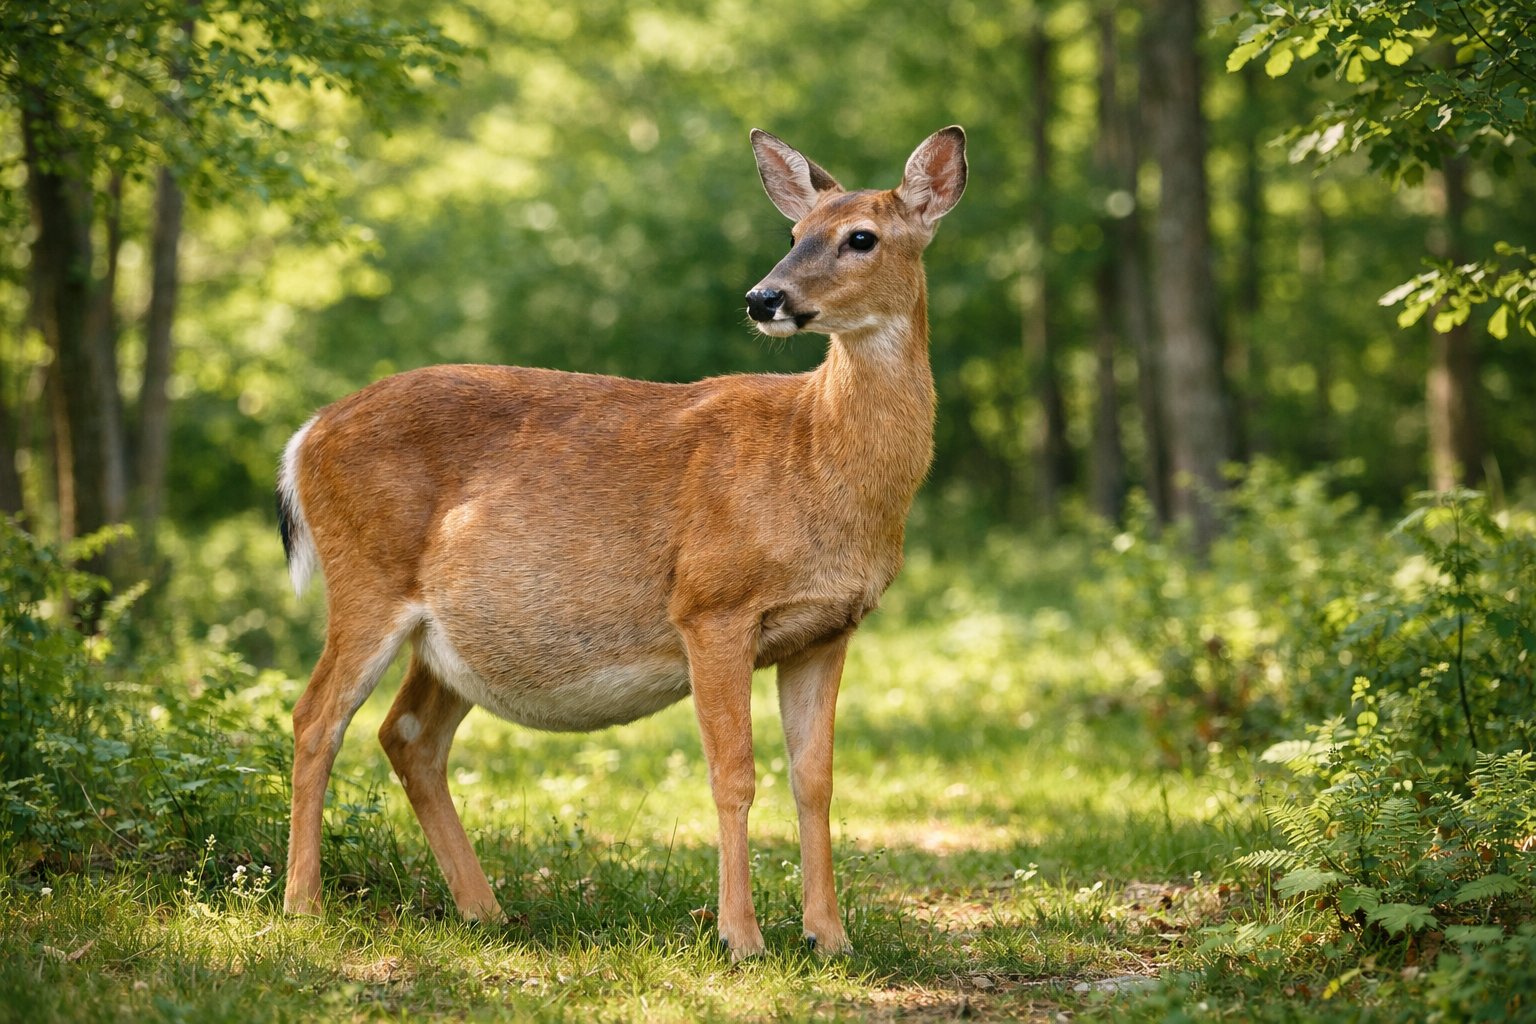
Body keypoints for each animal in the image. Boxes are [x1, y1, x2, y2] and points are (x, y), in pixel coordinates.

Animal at [275, 125, 966, 959]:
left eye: (861, 237)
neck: (814, 453)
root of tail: (306, 435)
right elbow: (734, 774)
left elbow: (816, 778)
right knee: (317, 718)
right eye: (794, 234)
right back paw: (303, 907)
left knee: (406, 734)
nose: (762, 298)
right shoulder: (711, 601)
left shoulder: (828, 628)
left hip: (446, 634)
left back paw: (485, 909)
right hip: (366, 578)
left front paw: (830, 938)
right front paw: (742, 939)